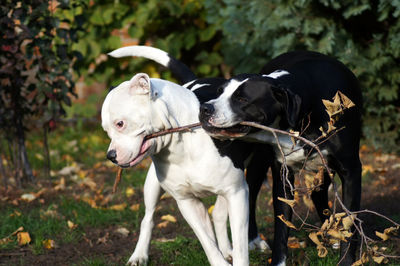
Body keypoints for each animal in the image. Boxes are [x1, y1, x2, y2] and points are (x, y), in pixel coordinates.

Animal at [101, 71, 248, 264]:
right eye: (106, 131)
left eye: (120, 123)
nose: (110, 156)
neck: (182, 145)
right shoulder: (187, 202)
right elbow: (207, 242)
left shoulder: (237, 192)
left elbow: (240, 245)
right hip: (152, 186)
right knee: (148, 218)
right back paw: (139, 254)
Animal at [200, 51, 362, 264]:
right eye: (220, 92)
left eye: (241, 99)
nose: (205, 108)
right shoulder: (282, 176)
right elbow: (281, 227)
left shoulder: (351, 171)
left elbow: (350, 223)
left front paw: (346, 259)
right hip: (260, 160)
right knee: (252, 194)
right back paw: (254, 239)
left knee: (317, 194)